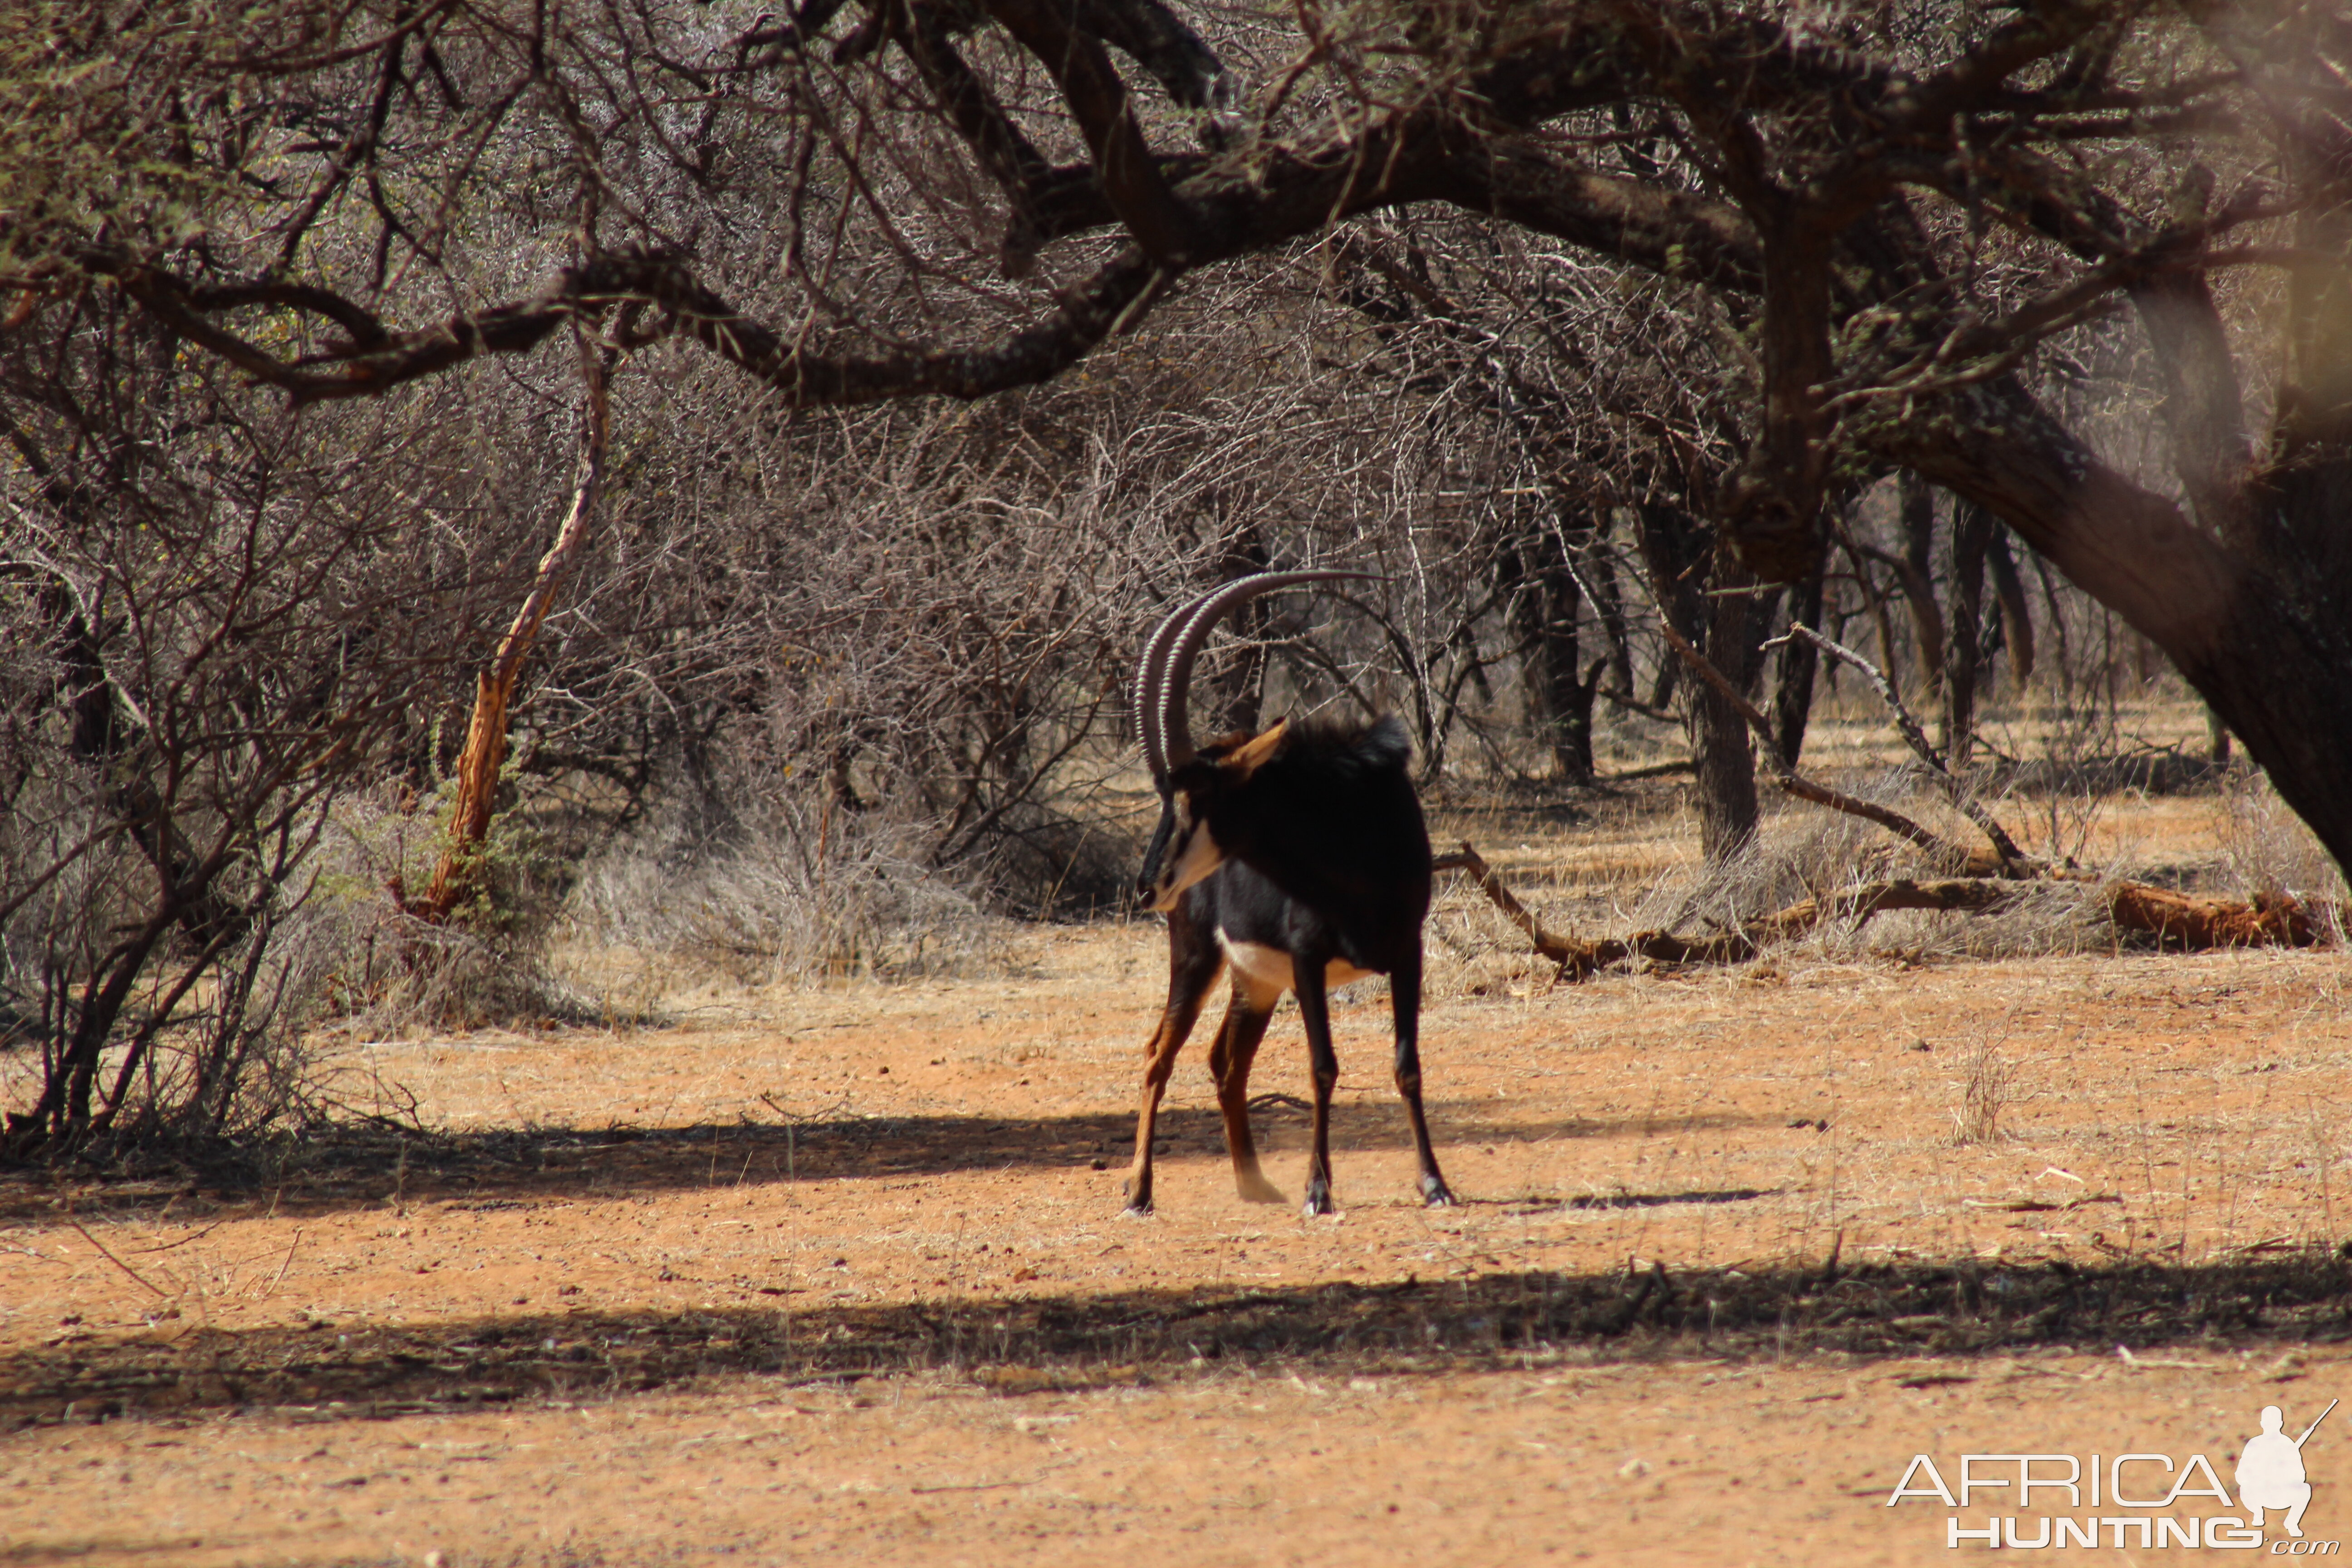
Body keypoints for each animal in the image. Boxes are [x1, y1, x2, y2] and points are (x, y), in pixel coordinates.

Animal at [1119, 571, 1449, 1222]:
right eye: (1166, 797)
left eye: (1199, 797)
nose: (1148, 886)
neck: (1354, 832)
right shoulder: (1308, 959)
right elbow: (1322, 1067)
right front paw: (1318, 1191)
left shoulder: (1408, 951)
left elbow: (1408, 1066)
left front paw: (1434, 1184)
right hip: (1199, 959)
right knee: (1158, 1054)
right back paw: (1140, 1190)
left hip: (1256, 981)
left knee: (1225, 1061)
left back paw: (1255, 1183)